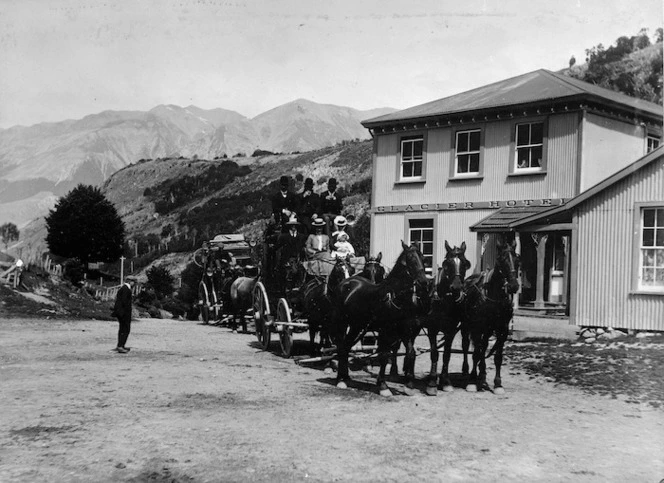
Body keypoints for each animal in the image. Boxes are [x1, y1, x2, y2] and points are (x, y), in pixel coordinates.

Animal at [328, 242, 430, 398]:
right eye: (411, 259)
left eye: (423, 258)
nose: (423, 282)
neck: (393, 296)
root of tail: (345, 283)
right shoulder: (386, 331)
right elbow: (384, 355)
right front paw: (383, 386)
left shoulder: (404, 331)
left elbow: (411, 353)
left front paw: (409, 385)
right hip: (342, 323)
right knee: (341, 346)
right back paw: (340, 379)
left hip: (356, 325)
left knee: (346, 346)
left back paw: (345, 377)